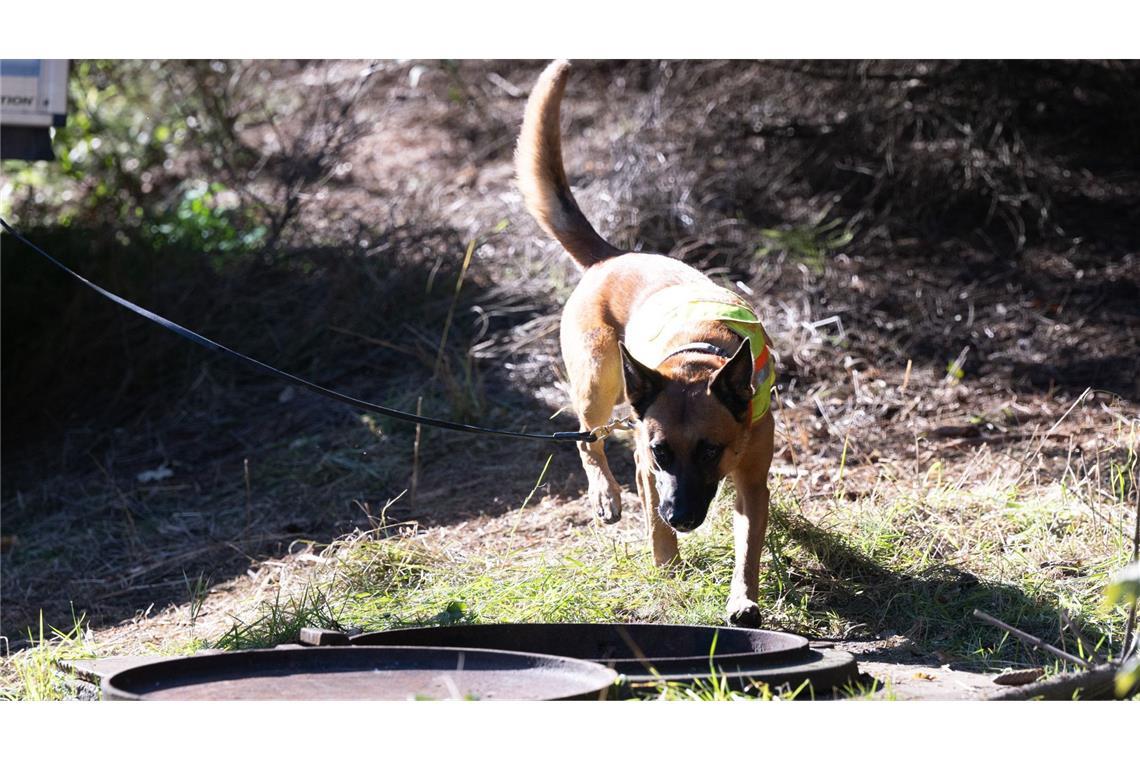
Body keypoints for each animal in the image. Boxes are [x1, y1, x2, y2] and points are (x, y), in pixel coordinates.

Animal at [515, 60, 775, 628]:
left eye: (710, 450)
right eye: (663, 451)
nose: (681, 517)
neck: (700, 361)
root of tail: (610, 257)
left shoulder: (750, 481)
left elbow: (748, 549)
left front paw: (742, 599)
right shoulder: (647, 462)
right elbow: (649, 507)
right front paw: (666, 563)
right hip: (600, 380)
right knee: (587, 436)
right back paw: (605, 496)